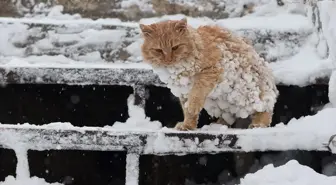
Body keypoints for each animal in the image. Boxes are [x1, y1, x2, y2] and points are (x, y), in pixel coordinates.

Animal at [138, 17, 278, 130]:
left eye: (175, 47)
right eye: (158, 50)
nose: (168, 60)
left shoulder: (210, 72)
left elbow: (197, 94)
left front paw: (193, 107)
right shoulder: (183, 91)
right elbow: (188, 112)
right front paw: (188, 126)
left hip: (250, 94)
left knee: (266, 109)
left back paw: (259, 124)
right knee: (230, 116)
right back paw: (217, 125)